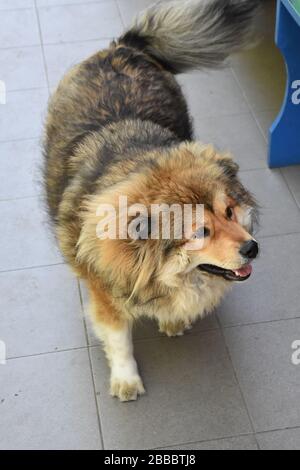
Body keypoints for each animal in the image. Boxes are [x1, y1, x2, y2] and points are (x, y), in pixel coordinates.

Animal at [44, 0, 260, 400]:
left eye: (229, 211)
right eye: (200, 232)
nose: (252, 248)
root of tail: (122, 47)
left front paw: (173, 321)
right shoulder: (106, 294)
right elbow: (120, 341)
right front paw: (126, 380)